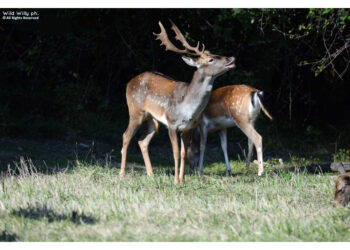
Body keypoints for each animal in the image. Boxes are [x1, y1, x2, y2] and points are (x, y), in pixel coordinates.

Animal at [119, 20, 235, 184]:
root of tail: (129, 82)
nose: (231, 58)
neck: (187, 109)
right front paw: (175, 181)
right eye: (210, 59)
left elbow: (184, 153)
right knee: (126, 136)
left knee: (142, 141)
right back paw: (122, 174)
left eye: (215, 54)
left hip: (152, 119)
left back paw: (151, 174)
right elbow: (175, 152)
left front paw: (182, 180)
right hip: (135, 112)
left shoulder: (189, 127)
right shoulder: (172, 124)